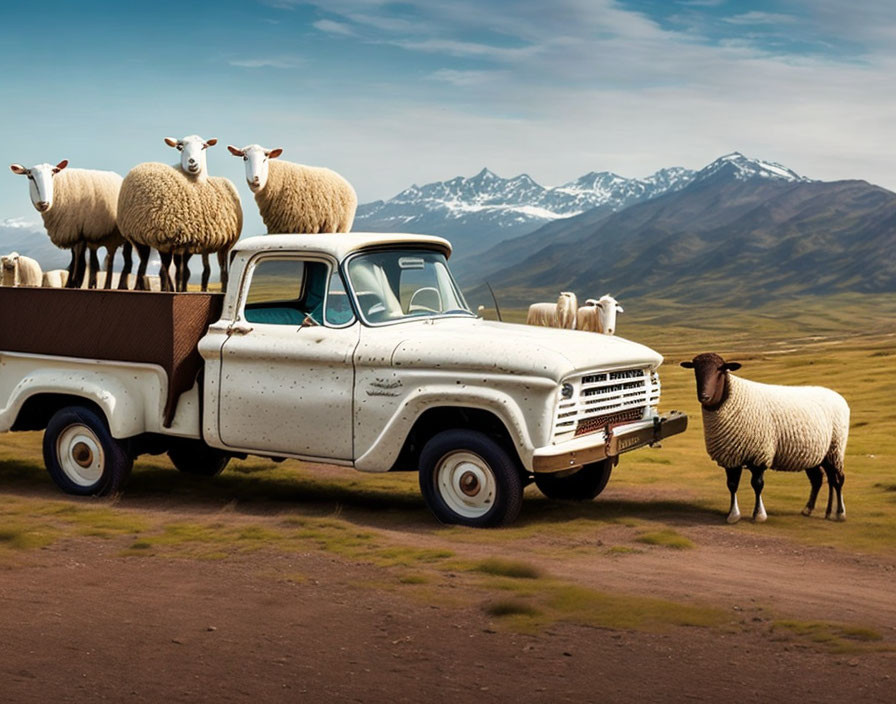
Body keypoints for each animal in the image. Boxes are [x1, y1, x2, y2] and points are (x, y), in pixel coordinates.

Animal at [121, 135, 245, 292]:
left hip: (222, 245)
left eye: (204, 146)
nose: (192, 161)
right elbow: (173, 272)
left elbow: (182, 272)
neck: (195, 181)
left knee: (220, 271)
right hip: (144, 237)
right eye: (180, 147)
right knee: (149, 267)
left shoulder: (188, 240)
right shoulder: (172, 239)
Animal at [684, 352, 852, 524]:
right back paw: (812, 510)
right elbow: (732, 485)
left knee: (838, 479)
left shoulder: (760, 454)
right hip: (816, 454)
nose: (704, 396)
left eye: (720, 369)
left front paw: (759, 514)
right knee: (820, 479)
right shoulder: (730, 457)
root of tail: (837, 396)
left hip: (835, 448)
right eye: (695, 369)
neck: (732, 398)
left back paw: (839, 513)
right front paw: (733, 514)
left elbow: (757, 484)